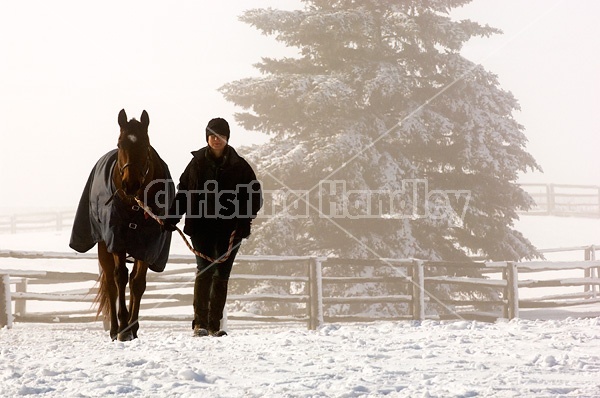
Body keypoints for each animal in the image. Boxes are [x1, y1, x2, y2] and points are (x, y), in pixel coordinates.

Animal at [70, 109, 175, 342]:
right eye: (120, 143)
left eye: (145, 143)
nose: (130, 184)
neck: (134, 204)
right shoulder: (116, 241)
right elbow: (120, 278)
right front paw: (123, 328)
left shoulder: (147, 246)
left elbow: (138, 283)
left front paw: (133, 327)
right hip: (103, 245)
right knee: (111, 281)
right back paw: (114, 328)